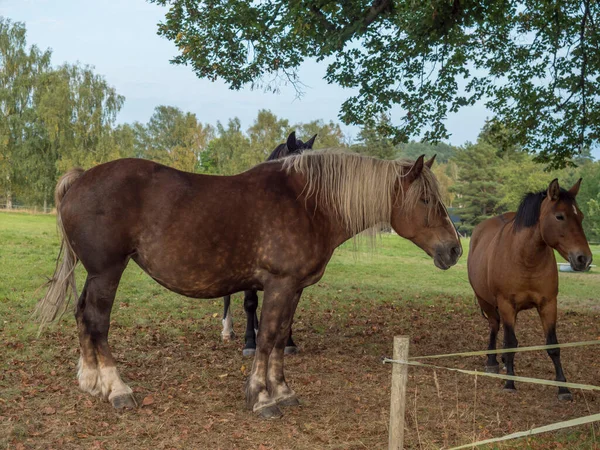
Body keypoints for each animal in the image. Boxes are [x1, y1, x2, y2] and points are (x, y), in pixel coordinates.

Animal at [468, 178, 592, 400]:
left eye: (581, 216)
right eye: (560, 216)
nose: (584, 259)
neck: (525, 258)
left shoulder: (548, 305)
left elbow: (552, 345)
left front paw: (563, 387)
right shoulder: (506, 304)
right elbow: (510, 343)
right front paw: (510, 382)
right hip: (486, 301)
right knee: (494, 325)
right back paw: (492, 361)